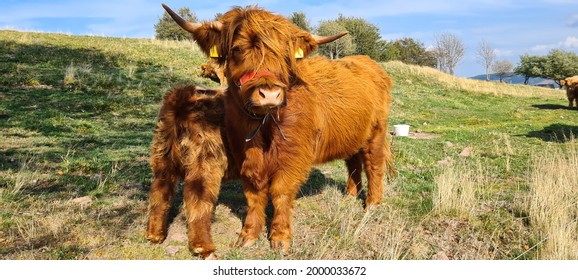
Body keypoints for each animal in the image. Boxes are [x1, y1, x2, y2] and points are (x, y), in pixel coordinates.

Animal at [146, 84, 234, 260]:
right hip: (205, 158)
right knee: (197, 199)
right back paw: (204, 248)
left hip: (164, 152)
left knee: (160, 190)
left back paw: (155, 235)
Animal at [162, 3, 396, 254]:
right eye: (237, 48)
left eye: (286, 55)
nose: (270, 94)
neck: (263, 126)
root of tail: (369, 63)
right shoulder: (244, 153)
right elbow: (254, 194)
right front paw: (249, 235)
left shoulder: (293, 156)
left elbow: (281, 192)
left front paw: (280, 237)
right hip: (352, 134)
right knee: (352, 163)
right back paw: (349, 196)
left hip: (377, 133)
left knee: (374, 165)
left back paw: (371, 205)